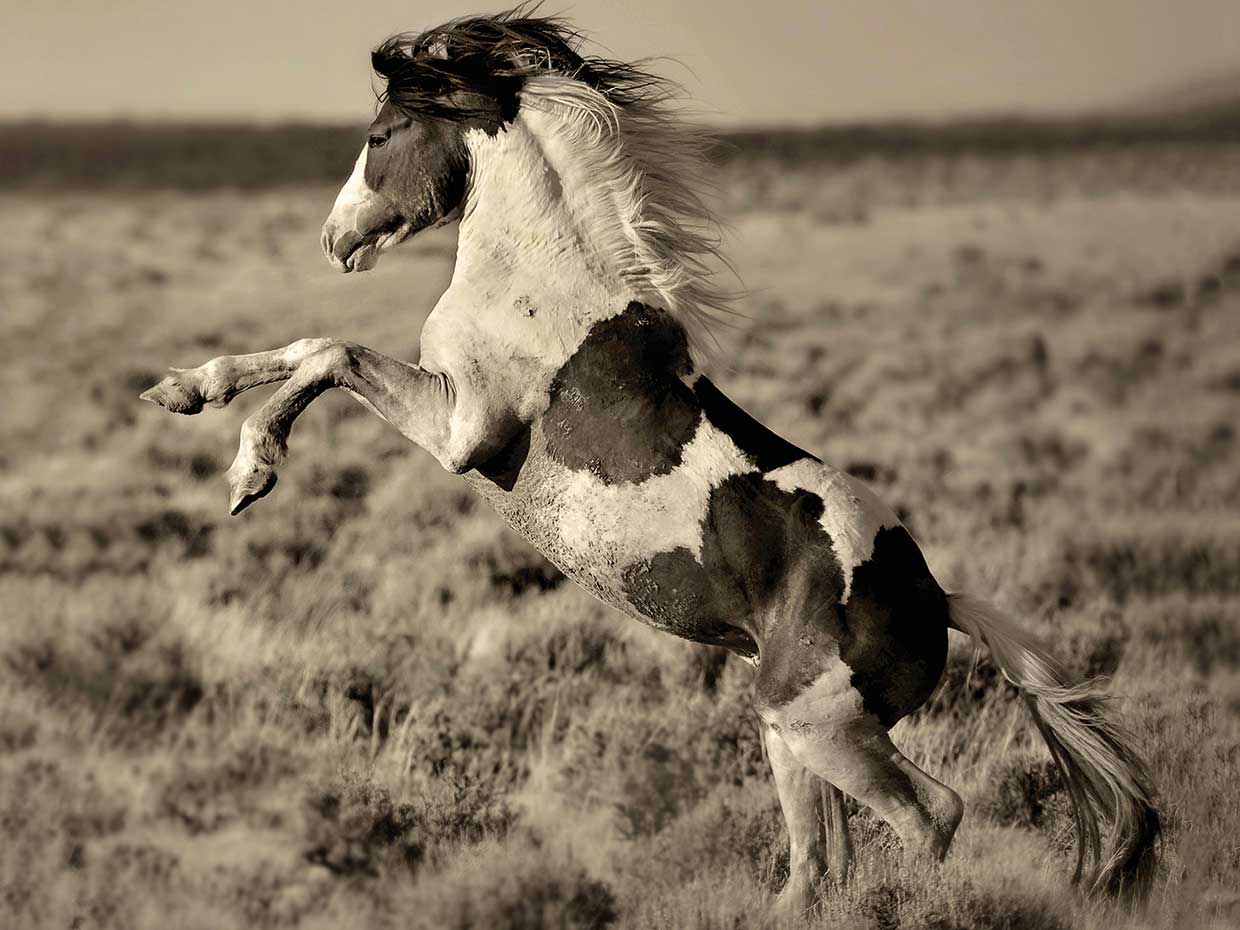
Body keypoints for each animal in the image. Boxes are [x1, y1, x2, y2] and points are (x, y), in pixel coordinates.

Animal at [140, 9, 1160, 915]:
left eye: (382, 132)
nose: (336, 240)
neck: (543, 277)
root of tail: (937, 599)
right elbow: (303, 348)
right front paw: (183, 389)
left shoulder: (460, 427)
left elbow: (328, 352)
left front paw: (251, 469)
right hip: (788, 733)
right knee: (816, 867)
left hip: (823, 727)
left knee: (932, 817)